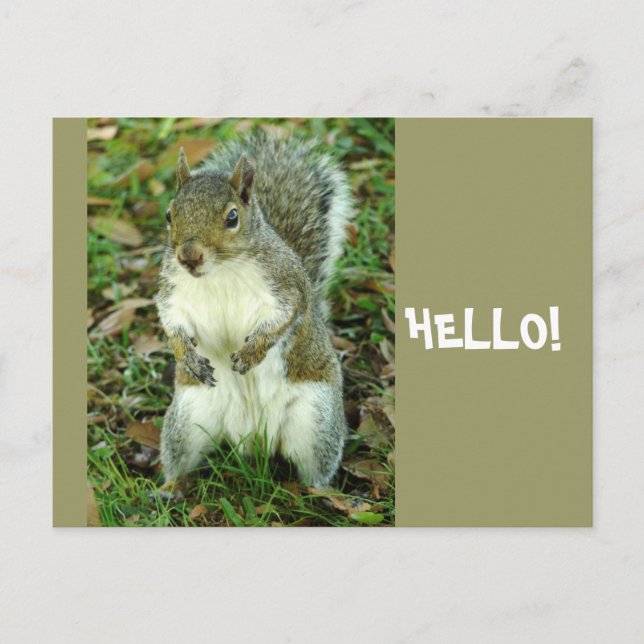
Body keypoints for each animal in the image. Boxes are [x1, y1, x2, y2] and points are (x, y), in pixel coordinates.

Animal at [155, 134, 352, 490]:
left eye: (232, 217)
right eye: (169, 214)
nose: (188, 257)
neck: (219, 272)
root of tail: (254, 437)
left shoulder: (287, 287)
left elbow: (283, 319)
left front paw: (251, 353)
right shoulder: (173, 294)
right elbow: (171, 322)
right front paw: (187, 357)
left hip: (315, 421)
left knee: (315, 469)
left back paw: (321, 494)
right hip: (187, 421)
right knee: (181, 459)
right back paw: (169, 488)